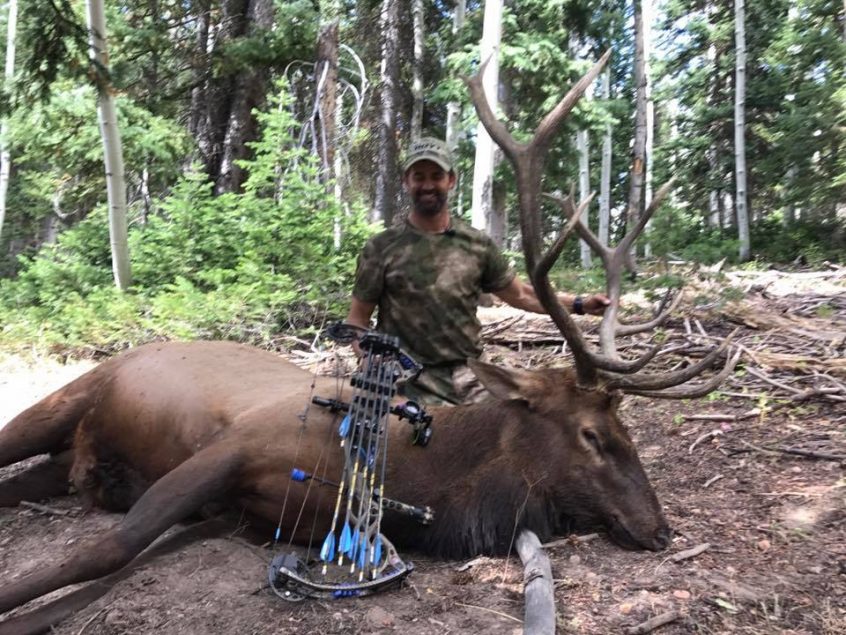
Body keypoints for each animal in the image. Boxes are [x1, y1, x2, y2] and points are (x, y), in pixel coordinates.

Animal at [0, 52, 738, 634]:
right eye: (592, 434)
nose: (661, 528)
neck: (414, 468)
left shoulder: (241, 517)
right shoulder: (232, 448)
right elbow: (102, 551)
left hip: (74, 458)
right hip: (72, 392)